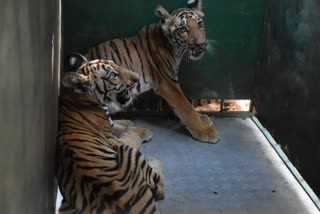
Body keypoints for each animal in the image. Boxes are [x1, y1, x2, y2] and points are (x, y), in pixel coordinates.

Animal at [56, 52, 164, 214]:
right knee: (159, 188)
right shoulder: (114, 140)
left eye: (116, 64)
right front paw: (141, 133)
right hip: (126, 152)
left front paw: (131, 124)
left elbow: (121, 124)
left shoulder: (111, 123)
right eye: (113, 75)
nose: (137, 78)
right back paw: (154, 161)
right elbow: (131, 137)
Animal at [84, 0, 220, 144]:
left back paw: (127, 123)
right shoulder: (168, 83)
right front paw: (204, 131)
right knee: (102, 126)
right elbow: (186, 108)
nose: (201, 44)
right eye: (183, 29)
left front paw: (202, 118)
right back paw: (140, 132)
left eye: (200, 24)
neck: (175, 48)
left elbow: (184, 107)